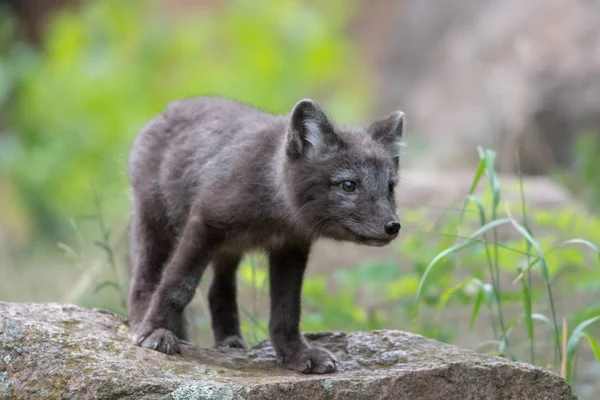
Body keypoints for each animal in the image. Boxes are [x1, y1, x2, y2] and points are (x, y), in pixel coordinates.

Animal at [129, 95, 406, 374]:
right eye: (348, 185)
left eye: (390, 187)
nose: (393, 226)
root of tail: (170, 108)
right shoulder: (203, 222)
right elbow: (177, 285)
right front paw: (155, 331)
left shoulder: (291, 247)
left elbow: (287, 309)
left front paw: (296, 353)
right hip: (154, 223)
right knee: (145, 279)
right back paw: (140, 323)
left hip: (229, 249)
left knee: (219, 289)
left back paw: (229, 341)